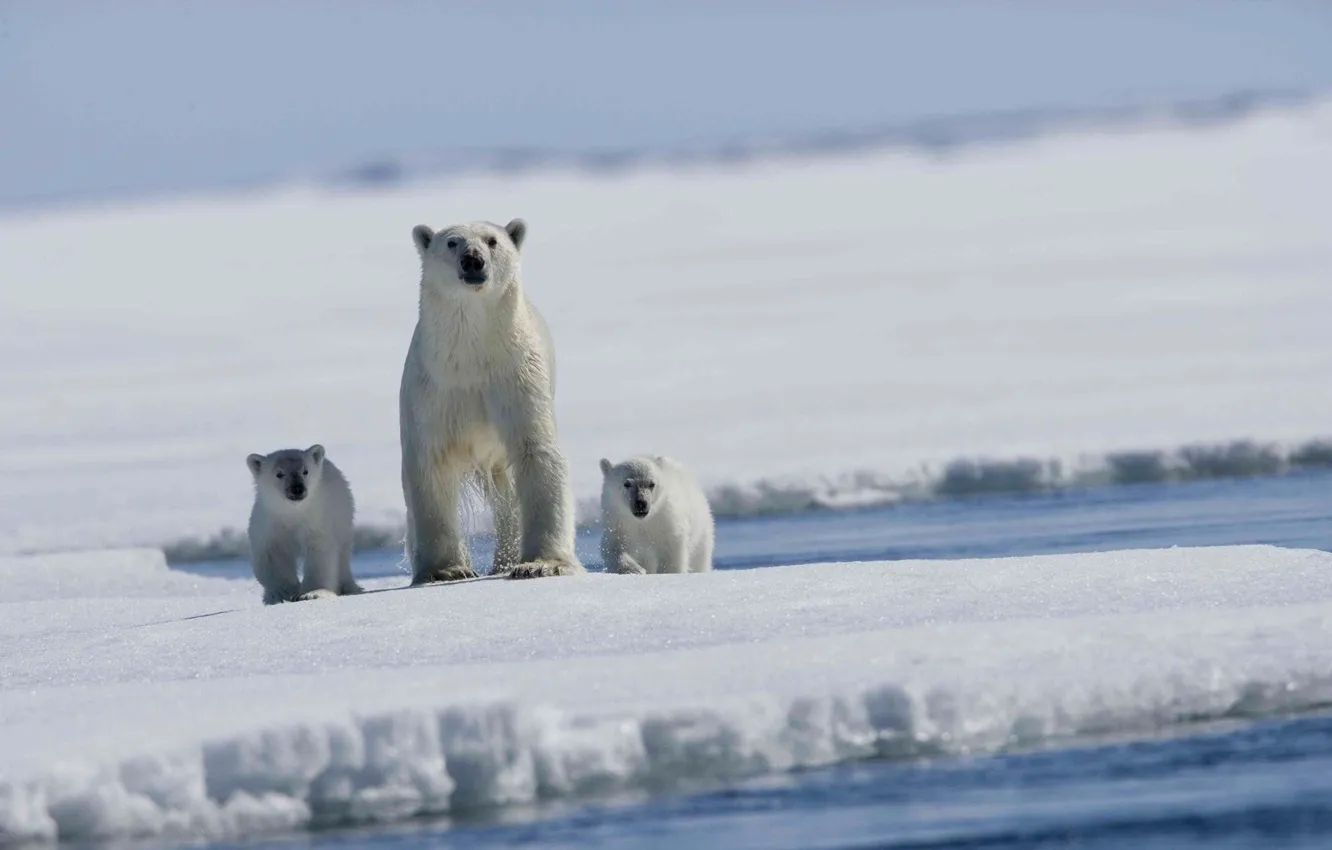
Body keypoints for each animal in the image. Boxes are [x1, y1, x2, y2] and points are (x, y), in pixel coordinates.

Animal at [246, 444, 362, 604]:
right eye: (279, 474)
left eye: (305, 471)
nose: (297, 488)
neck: (293, 513)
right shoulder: (269, 525)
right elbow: (273, 556)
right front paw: (282, 593)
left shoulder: (316, 521)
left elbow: (319, 553)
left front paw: (313, 593)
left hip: (342, 516)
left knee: (343, 554)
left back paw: (348, 587)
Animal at [400, 218, 582, 583]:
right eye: (452, 242)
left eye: (492, 240)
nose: (473, 260)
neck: (472, 355)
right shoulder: (433, 390)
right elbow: (430, 464)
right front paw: (446, 569)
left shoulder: (516, 377)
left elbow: (537, 452)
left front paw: (541, 564)